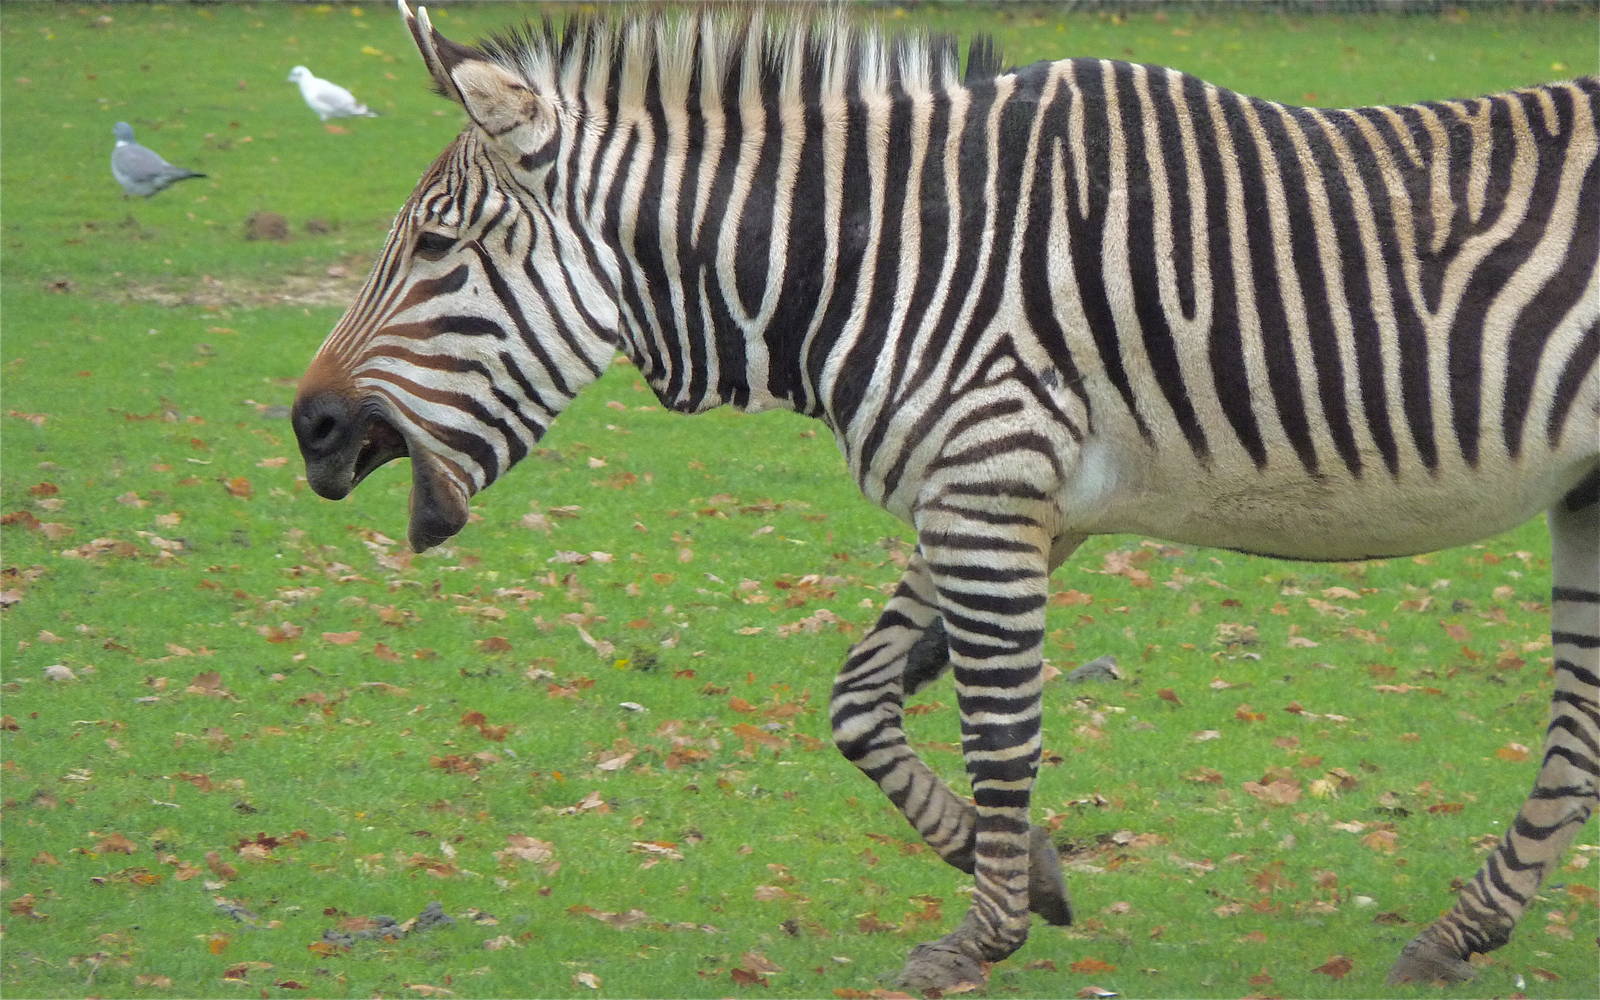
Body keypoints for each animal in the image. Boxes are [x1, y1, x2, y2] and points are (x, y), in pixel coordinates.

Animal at [292, 2, 1599, 989]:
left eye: (437, 247)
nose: (307, 429)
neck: (884, 251)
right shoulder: (993, 498)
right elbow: (859, 701)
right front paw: (1030, 877)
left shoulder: (988, 487)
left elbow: (1000, 733)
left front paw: (983, 934)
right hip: (1590, 493)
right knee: (1577, 734)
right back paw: (1463, 929)